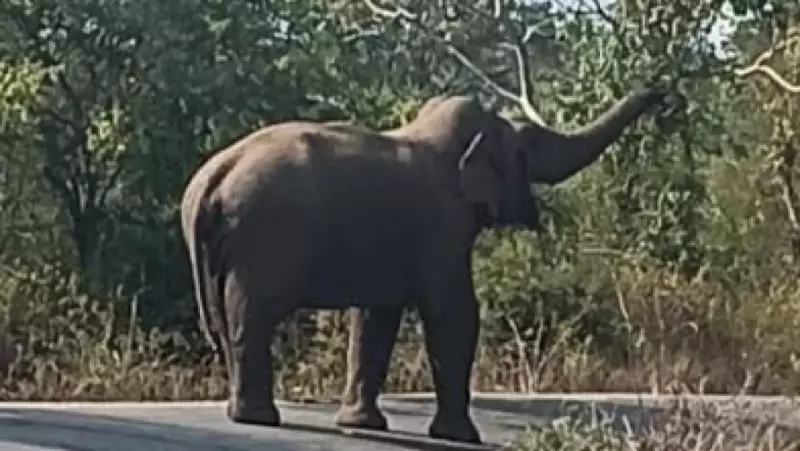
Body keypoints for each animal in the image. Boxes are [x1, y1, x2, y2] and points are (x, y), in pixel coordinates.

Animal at [179, 87, 666, 444]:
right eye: (529, 148)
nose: (660, 86)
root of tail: (213, 178)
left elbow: (376, 315)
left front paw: (360, 426)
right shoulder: (443, 225)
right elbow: (454, 312)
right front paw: (461, 438)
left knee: (228, 317)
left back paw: (243, 414)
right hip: (267, 238)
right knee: (254, 311)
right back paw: (259, 419)